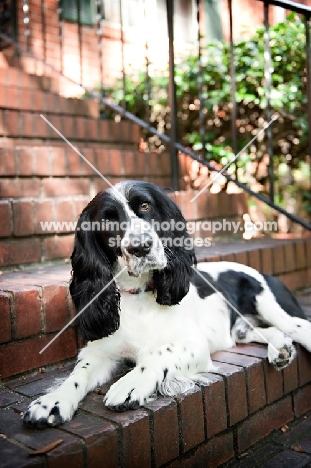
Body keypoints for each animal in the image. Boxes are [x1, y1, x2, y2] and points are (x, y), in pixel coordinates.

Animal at [23, 180, 311, 428]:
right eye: (107, 219)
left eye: (145, 206)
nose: (140, 247)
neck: (139, 295)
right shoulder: (99, 351)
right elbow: (76, 375)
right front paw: (51, 402)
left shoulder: (194, 344)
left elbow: (158, 352)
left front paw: (132, 383)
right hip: (242, 329)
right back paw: (281, 349)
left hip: (275, 309)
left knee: (299, 328)